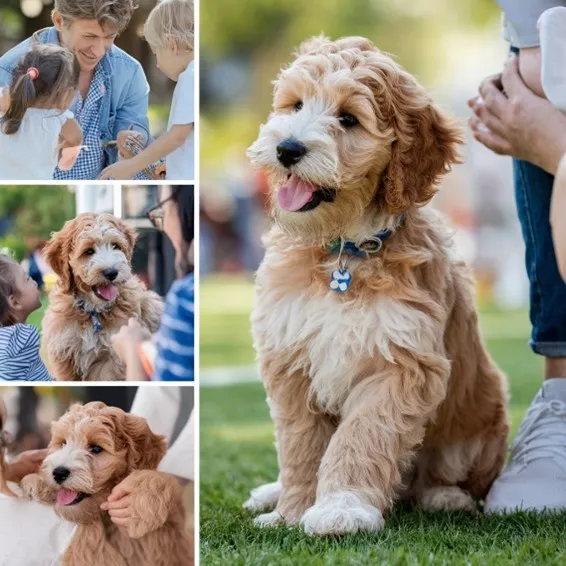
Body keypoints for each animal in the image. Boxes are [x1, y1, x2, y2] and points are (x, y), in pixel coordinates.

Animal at [43, 213, 164, 382]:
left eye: (115, 246)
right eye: (88, 251)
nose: (111, 272)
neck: (94, 311)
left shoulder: (111, 360)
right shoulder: (64, 354)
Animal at [244, 36, 510, 536]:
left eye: (348, 118)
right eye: (295, 105)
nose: (287, 148)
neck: (343, 251)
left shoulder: (399, 361)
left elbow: (362, 435)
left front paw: (341, 508)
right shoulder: (291, 355)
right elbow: (300, 443)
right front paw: (290, 511)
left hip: (475, 426)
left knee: (446, 475)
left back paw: (446, 497)